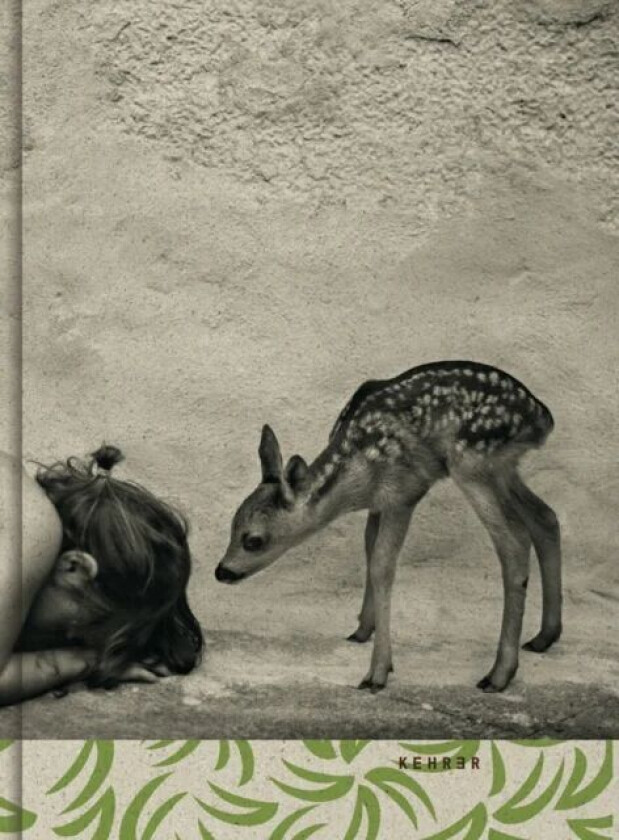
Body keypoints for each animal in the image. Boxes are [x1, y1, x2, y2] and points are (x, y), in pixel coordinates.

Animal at [215, 361, 562, 693]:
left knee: (514, 542)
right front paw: (362, 630)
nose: (222, 571)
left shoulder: (404, 491)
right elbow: (369, 550)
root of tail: (542, 417)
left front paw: (377, 672)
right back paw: (544, 637)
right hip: (502, 468)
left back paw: (499, 674)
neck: (356, 477)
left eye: (254, 540)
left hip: (472, 462)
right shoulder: (378, 503)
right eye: (232, 525)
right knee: (545, 517)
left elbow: (382, 565)